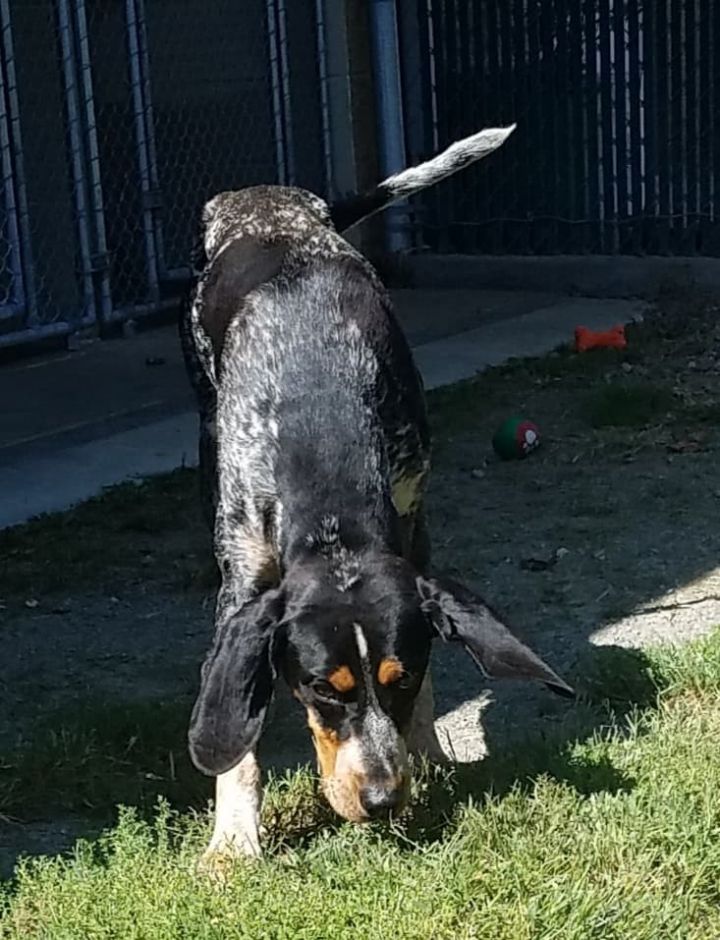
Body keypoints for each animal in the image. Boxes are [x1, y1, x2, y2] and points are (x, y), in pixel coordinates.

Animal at [180, 126, 572, 872]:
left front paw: (427, 756)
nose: (384, 800)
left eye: (401, 676)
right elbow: (239, 731)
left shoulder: (414, 519)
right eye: (317, 689)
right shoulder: (243, 572)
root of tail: (267, 197)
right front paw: (233, 839)